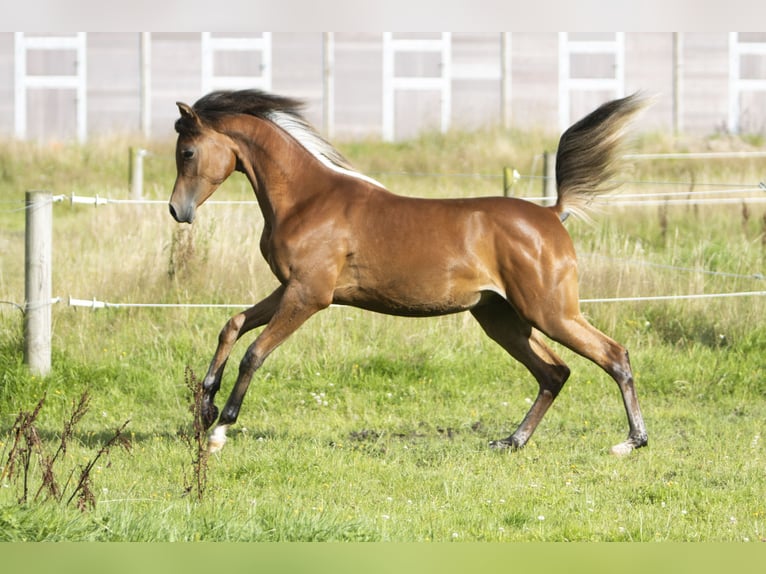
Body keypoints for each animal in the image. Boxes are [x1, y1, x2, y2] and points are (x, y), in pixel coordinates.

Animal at [168, 89, 648, 460]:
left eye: (187, 152)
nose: (177, 210)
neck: (309, 199)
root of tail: (552, 214)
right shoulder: (291, 288)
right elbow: (232, 325)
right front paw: (205, 408)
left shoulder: (308, 296)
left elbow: (254, 353)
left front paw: (220, 429)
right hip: (502, 318)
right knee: (554, 372)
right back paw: (511, 441)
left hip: (550, 312)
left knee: (613, 355)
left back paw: (630, 442)